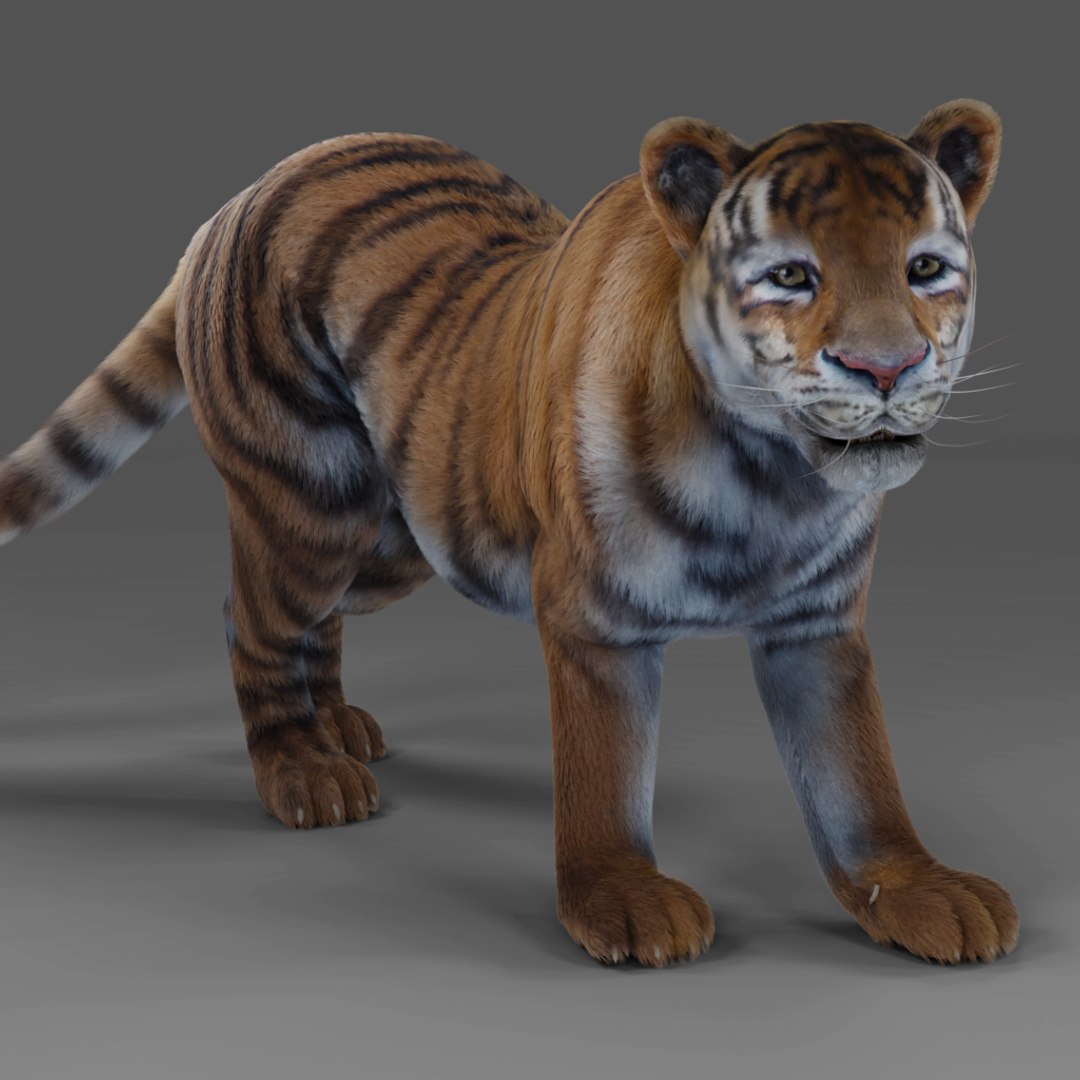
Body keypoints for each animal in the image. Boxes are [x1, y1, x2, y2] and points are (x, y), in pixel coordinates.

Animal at [0, 99, 1017, 968]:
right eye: (793, 277)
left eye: (924, 269)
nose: (886, 368)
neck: (774, 480)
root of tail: (237, 200)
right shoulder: (593, 622)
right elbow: (607, 772)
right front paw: (623, 902)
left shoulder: (819, 629)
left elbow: (857, 778)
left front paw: (922, 891)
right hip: (313, 505)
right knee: (249, 614)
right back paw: (302, 769)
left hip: (396, 535)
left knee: (308, 620)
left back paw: (339, 728)